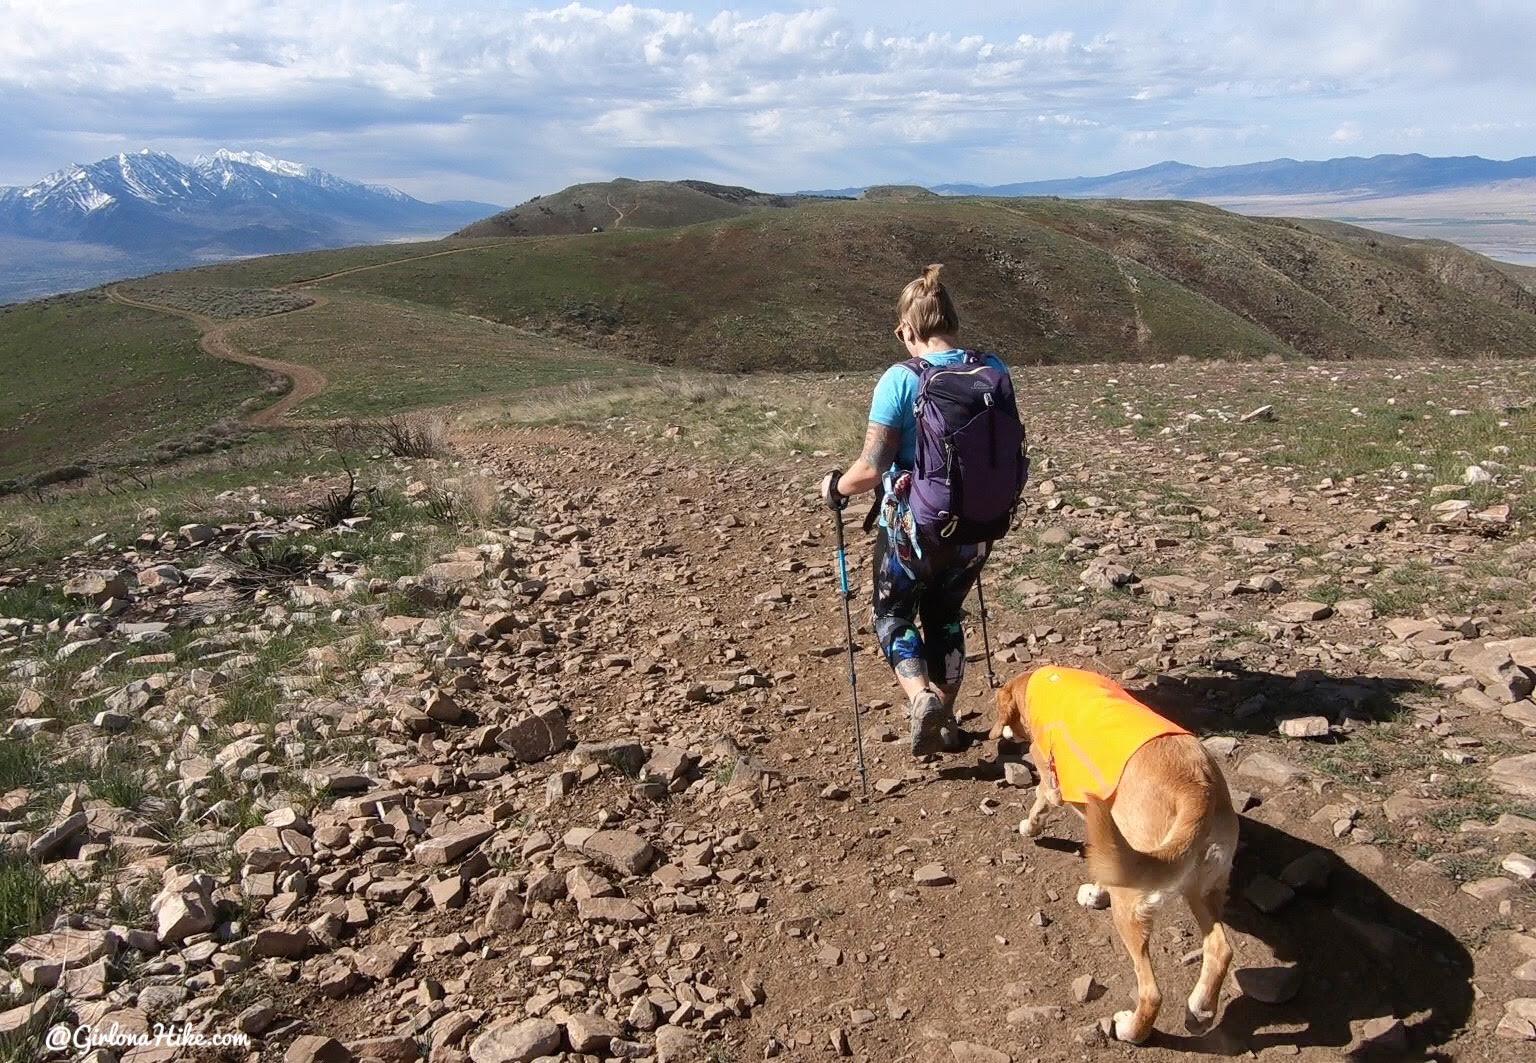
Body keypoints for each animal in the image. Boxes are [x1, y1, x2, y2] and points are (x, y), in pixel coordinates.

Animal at [989, 669, 1241, 1044]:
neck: (1038, 682)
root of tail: (1197, 788)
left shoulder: (1051, 782)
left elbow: (1039, 803)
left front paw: (1028, 827)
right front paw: (1095, 890)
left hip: (1133, 904)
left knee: (1151, 992)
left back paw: (1132, 1030)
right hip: (1201, 886)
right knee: (1220, 950)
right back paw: (1199, 1012)